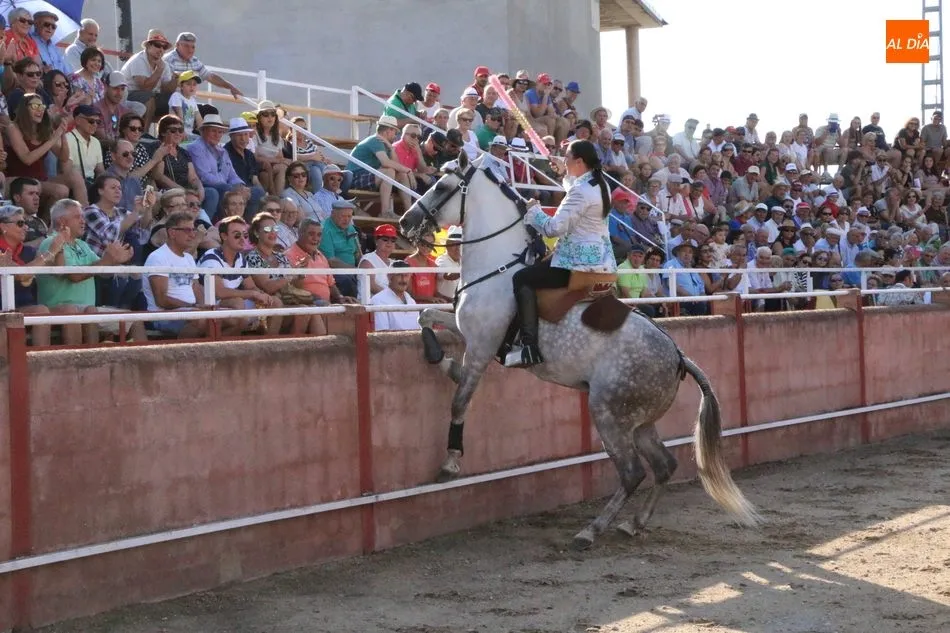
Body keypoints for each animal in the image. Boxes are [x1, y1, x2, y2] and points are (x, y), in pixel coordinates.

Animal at [398, 152, 759, 548]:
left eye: (442, 186)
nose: (405, 222)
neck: (497, 268)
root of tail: (678, 356)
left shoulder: (480, 345)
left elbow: (460, 400)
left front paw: (450, 462)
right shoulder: (467, 330)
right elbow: (426, 317)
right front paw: (441, 359)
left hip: (607, 412)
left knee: (632, 471)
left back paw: (592, 530)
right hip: (639, 421)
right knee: (664, 465)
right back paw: (633, 523)